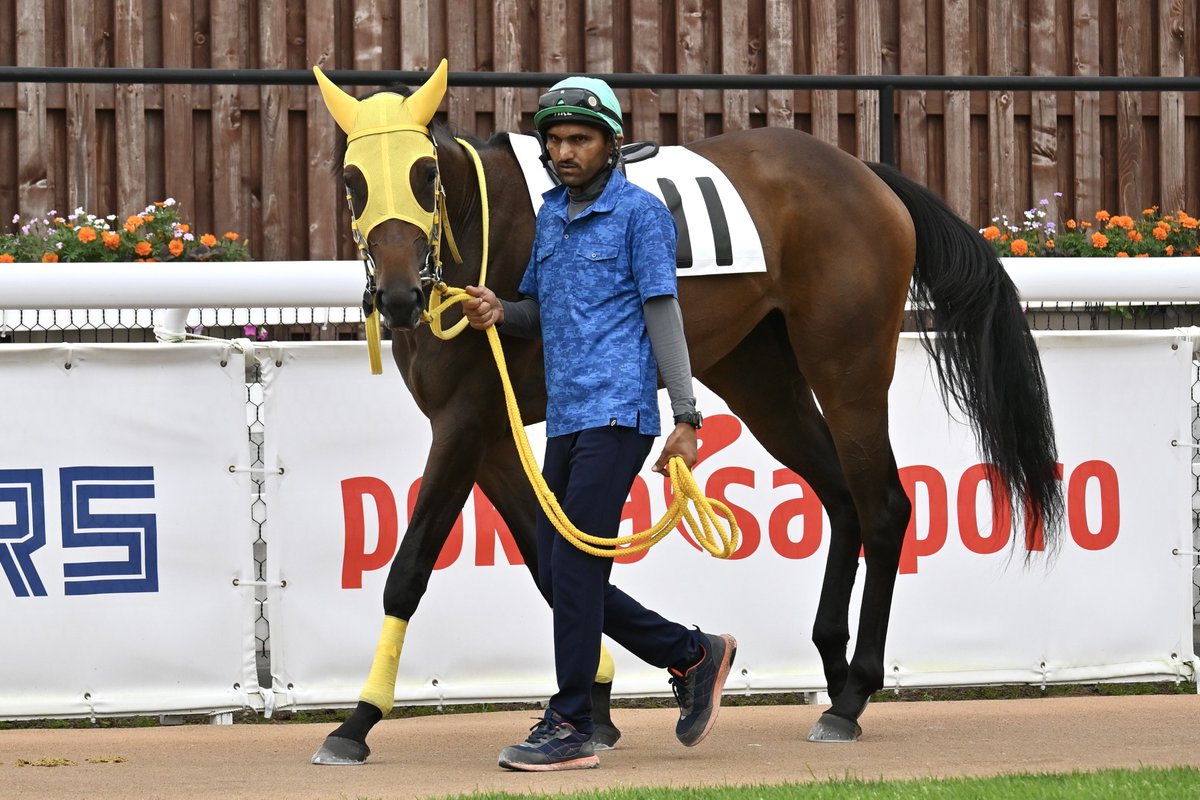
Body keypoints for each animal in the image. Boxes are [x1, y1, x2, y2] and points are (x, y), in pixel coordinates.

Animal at [308, 60, 1063, 765]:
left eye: (424, 171)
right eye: (352, 180)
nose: (400, 296)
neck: (479, 227)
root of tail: (862, 172)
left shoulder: (464, 426)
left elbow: (412, 570)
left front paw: (356, 723)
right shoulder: (488, 436)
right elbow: (555, 562)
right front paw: (599, 703)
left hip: (848, 370)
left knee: (883, 507)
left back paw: (850, 698)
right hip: (763, 383)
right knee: (841, 498)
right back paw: (831, 665)